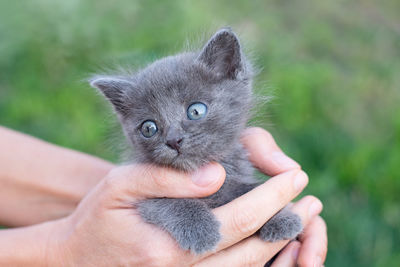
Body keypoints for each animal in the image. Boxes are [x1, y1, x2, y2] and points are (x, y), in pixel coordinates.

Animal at [90, 28, 302, 255]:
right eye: (149, 128)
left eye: (196, 111)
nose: (173, 140)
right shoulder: (143, 200)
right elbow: (170, 203)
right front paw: (200, 230)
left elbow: (252, 189)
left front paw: (281, 217)